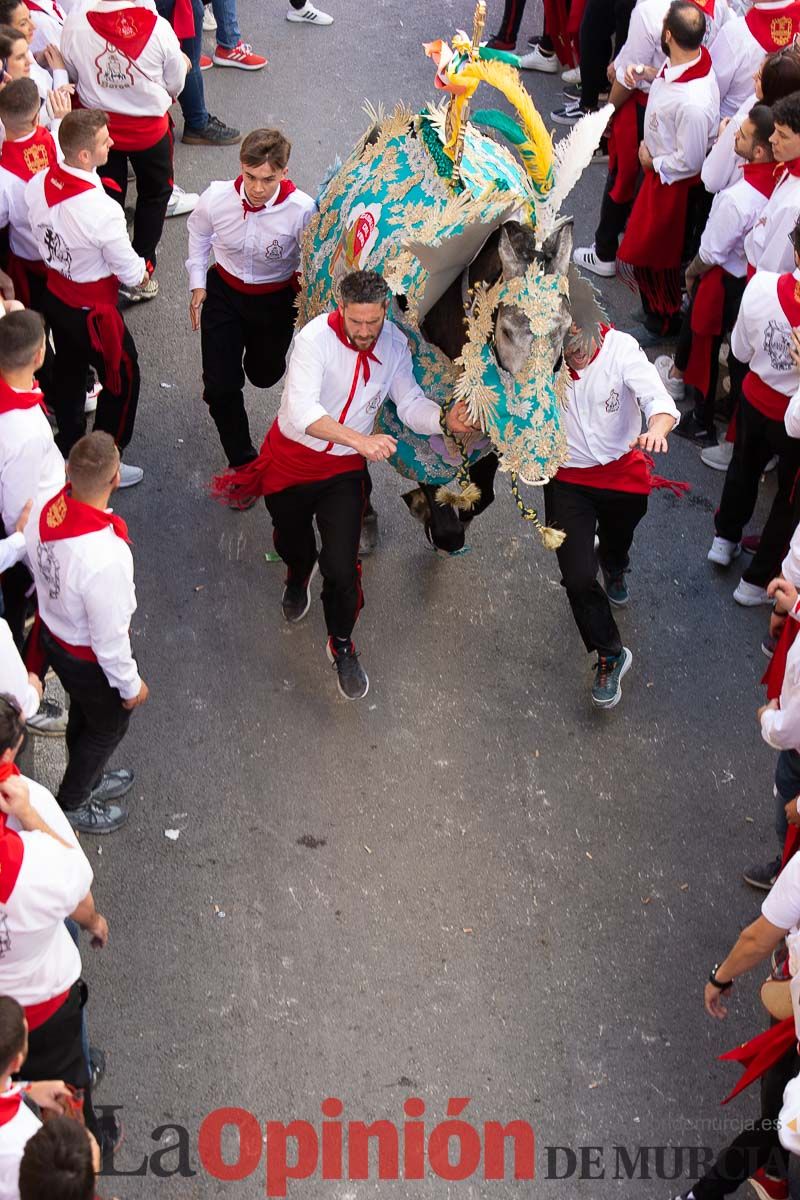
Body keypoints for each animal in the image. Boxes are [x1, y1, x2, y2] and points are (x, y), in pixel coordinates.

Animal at [297, 0, 609, 552]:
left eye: (565, 331)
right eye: (505, 329)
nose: (539, 462)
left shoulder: (483, 431)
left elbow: (478, 495)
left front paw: (450, 510)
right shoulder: (408, 419)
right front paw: (430, 511)